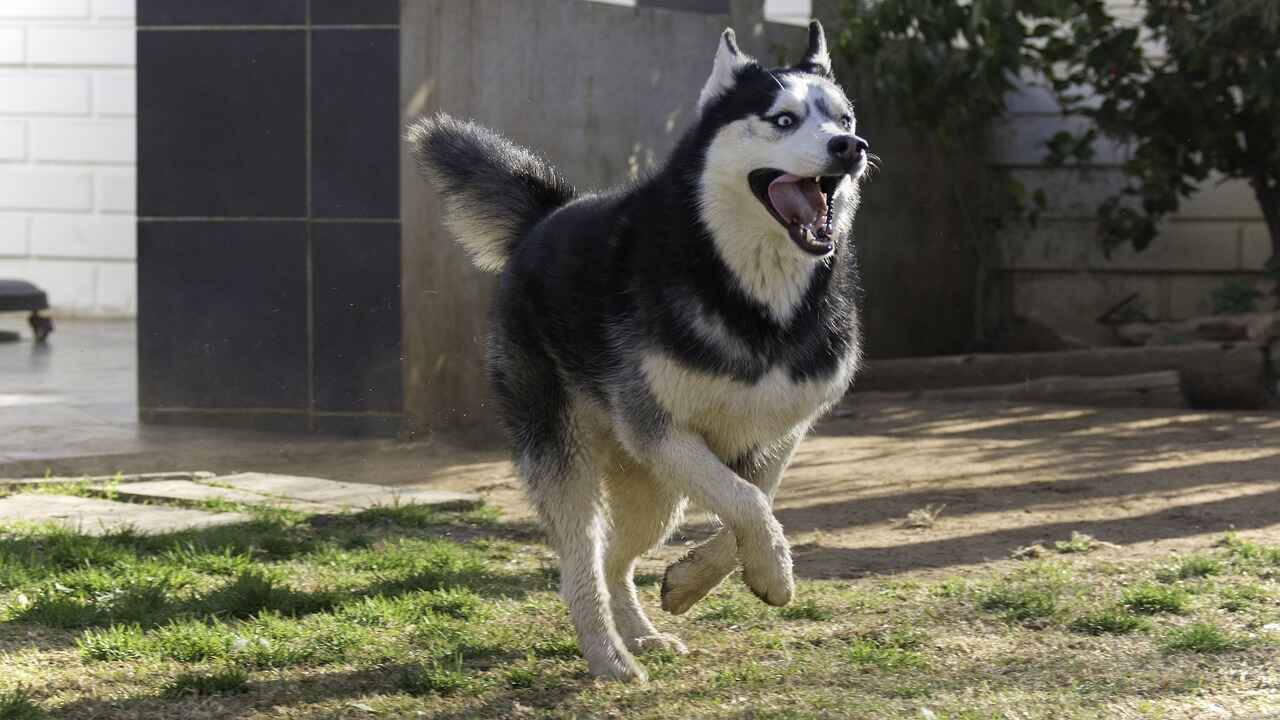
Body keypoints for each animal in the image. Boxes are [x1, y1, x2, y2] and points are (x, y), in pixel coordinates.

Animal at [409, 22, 870, 681]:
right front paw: (776, 574)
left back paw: (641, 634)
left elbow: (758, 499)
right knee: (580, 563)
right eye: (783, 120)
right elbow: (748, 502)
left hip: (654, 490)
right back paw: (609, 656)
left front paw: (699, 580)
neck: (749, 293)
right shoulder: (657, 427)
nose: (849, 146)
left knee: (613, 559)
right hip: (569, 457)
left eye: (844, 116)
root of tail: (546, 214)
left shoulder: (779, 431)